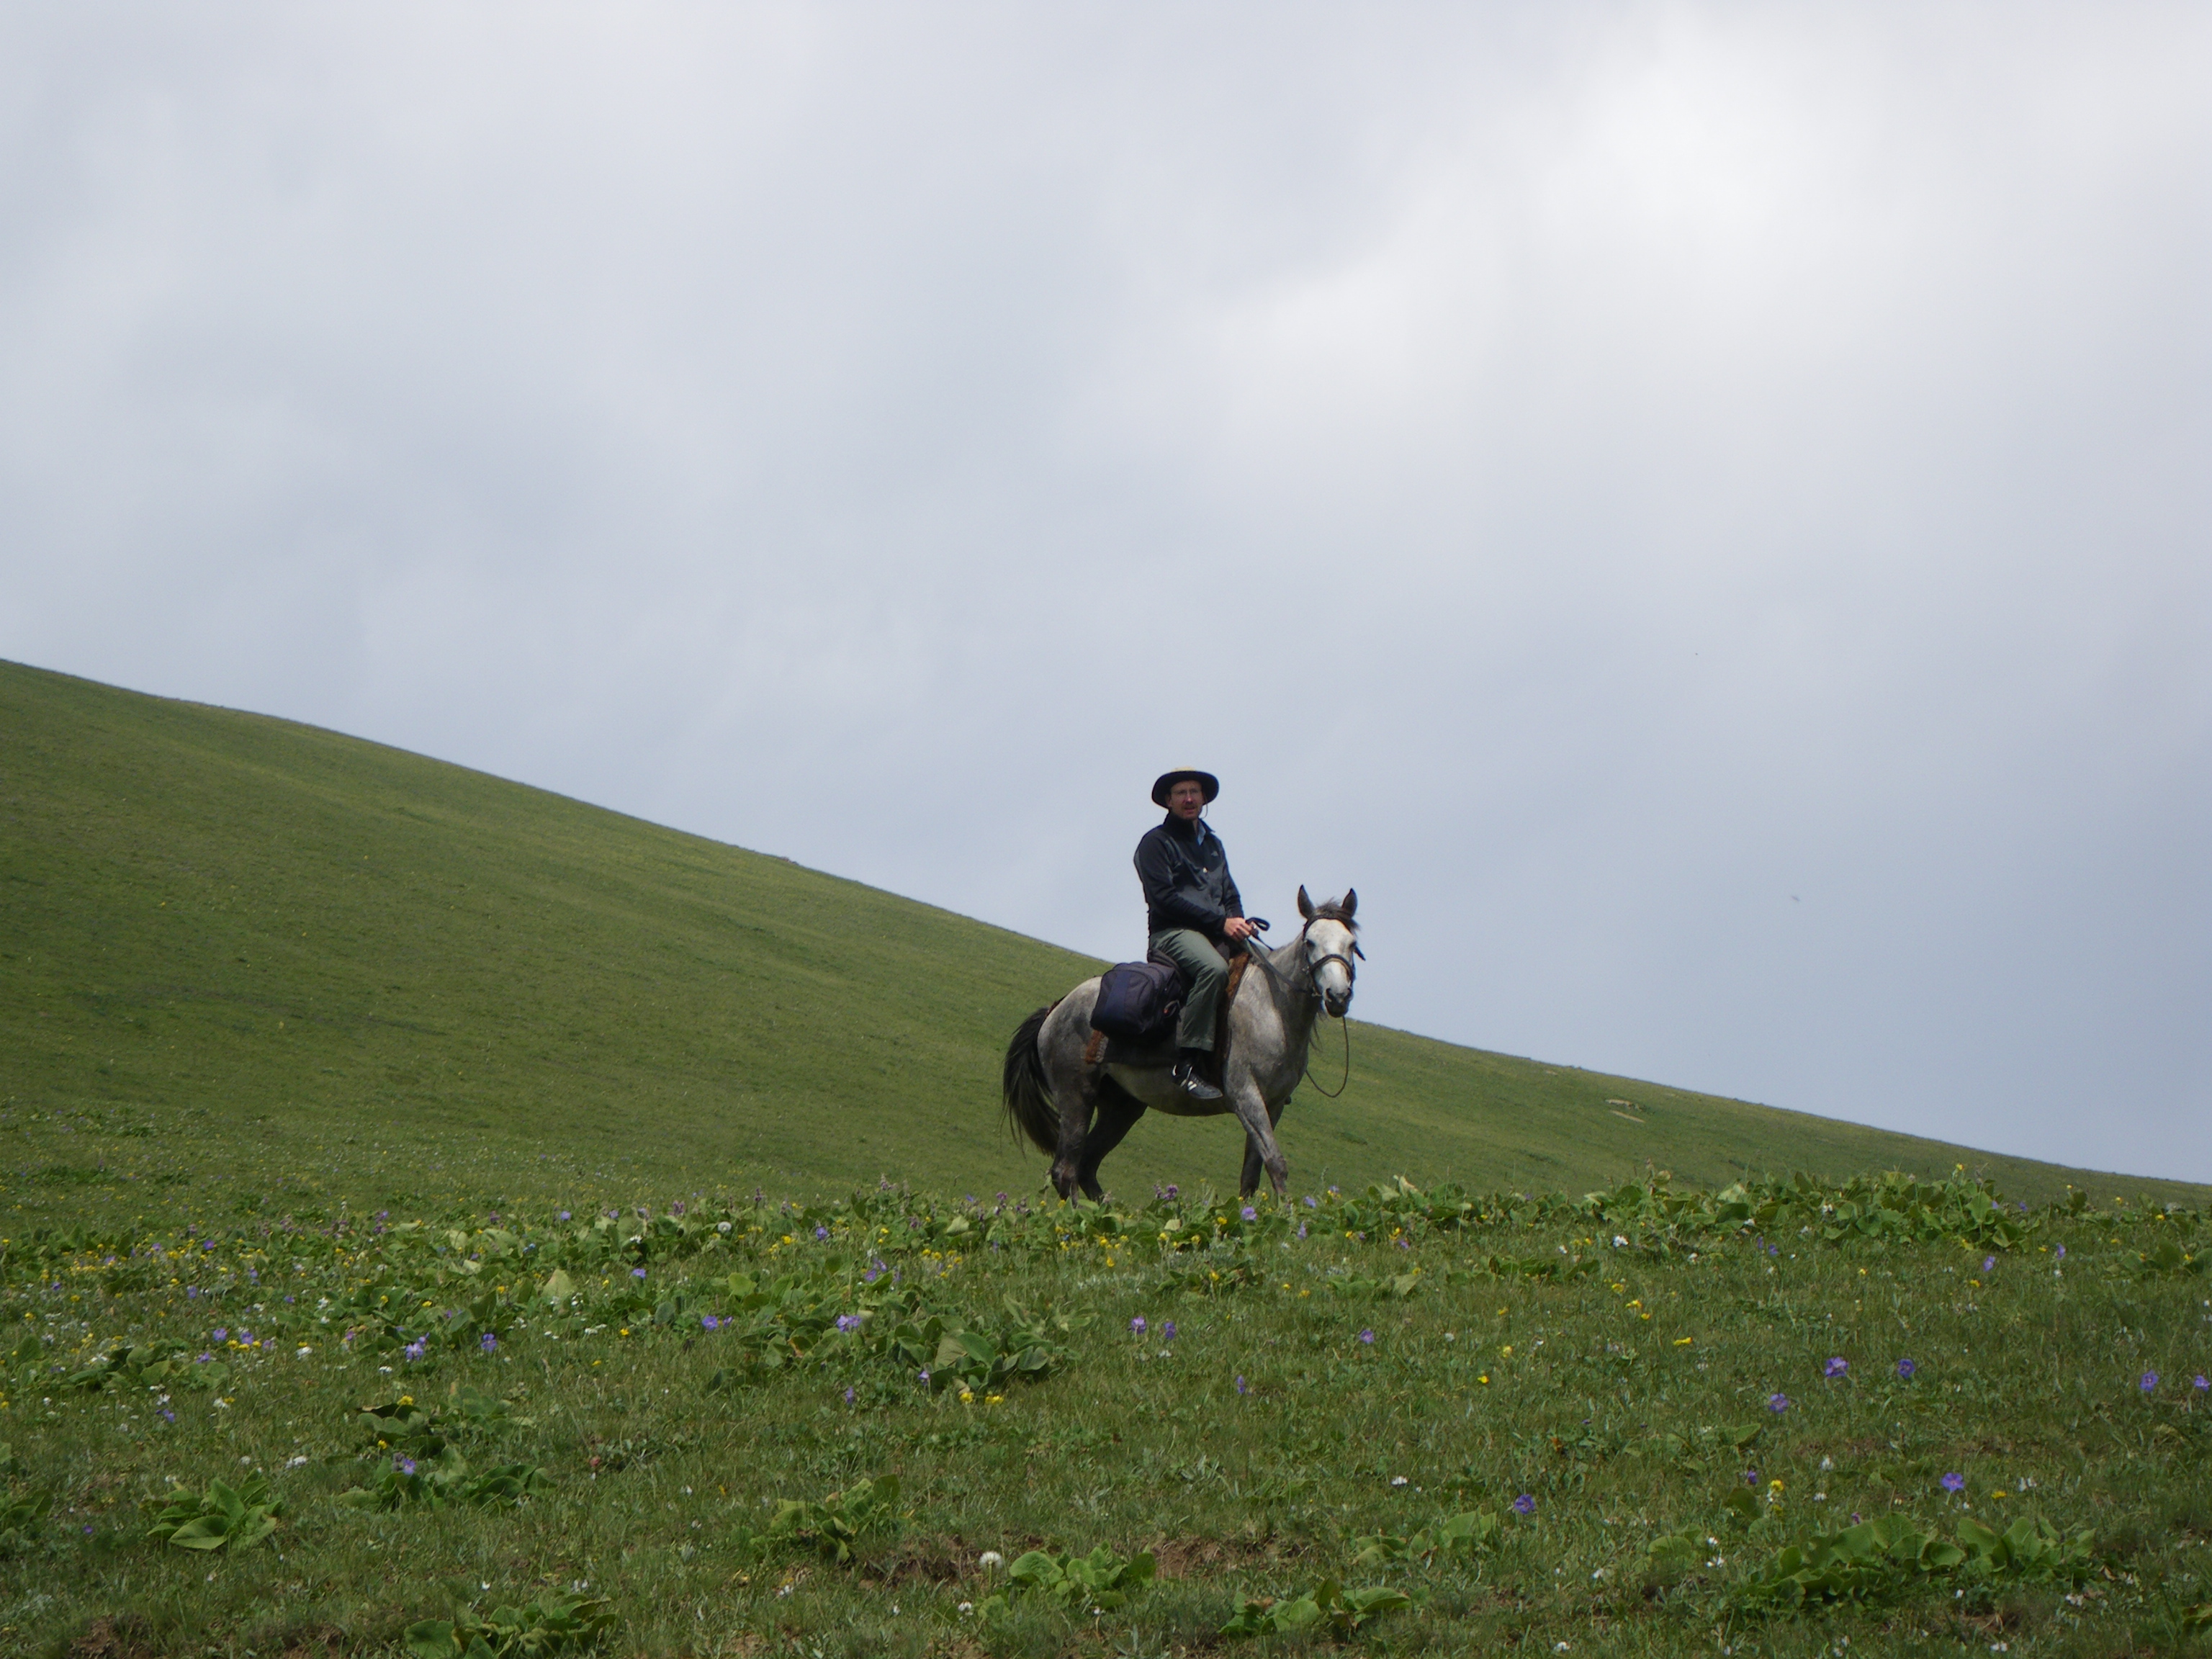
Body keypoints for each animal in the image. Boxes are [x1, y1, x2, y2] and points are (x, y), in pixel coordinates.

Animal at [1002, 887, 1360, 1202]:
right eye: (1310, 942)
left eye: (1352, 944)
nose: (1338, 996)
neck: (1271, 1006)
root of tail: (1055, 1009)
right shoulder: (1246, 1096)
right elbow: (1276, 1163)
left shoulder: (1272, 1105)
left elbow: (1251, 1176)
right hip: (1076, 1097)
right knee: (1065, 1171)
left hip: (1122, 1108)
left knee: (1086, 1165)